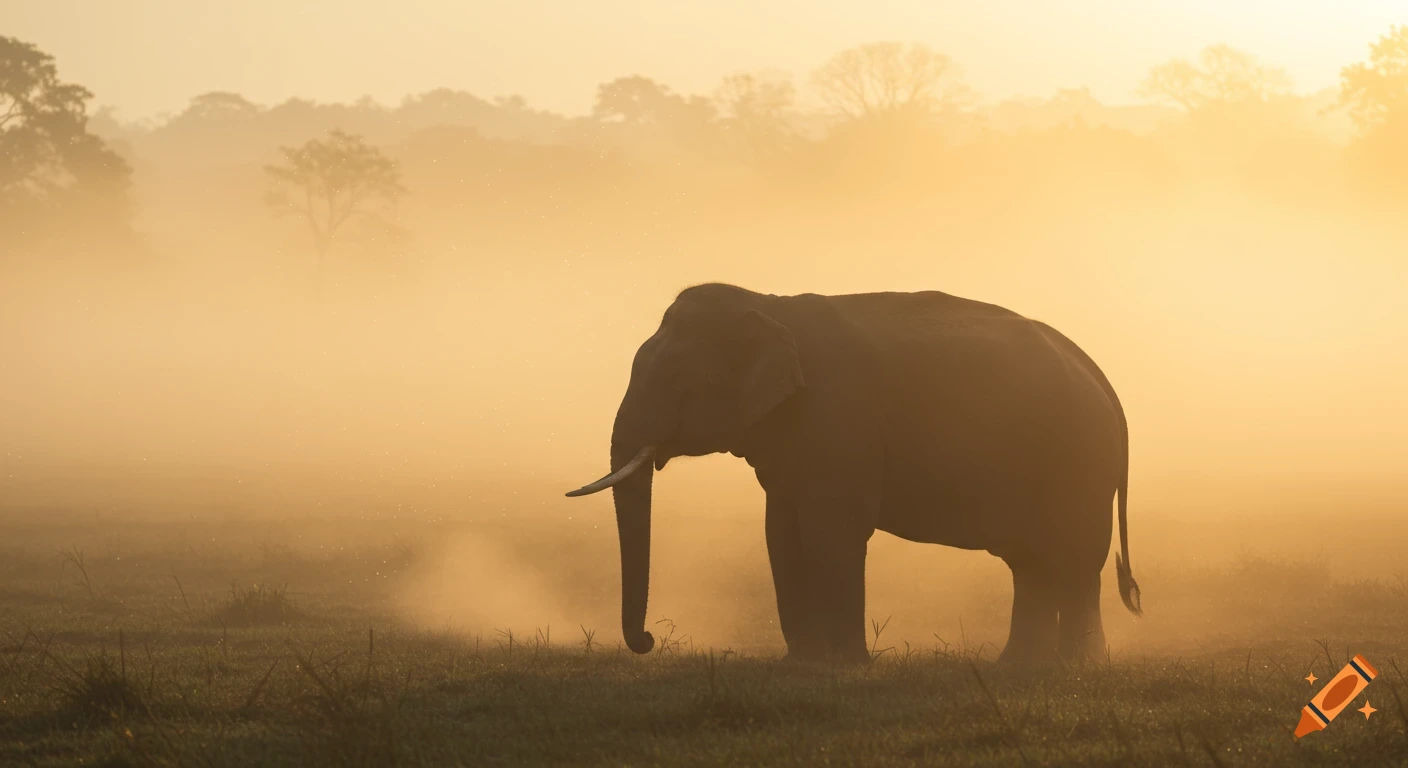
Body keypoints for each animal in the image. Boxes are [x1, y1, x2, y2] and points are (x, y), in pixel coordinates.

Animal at [566, 283, 1141, 664]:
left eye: (676, 381)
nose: (648, 642)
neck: (768, 305)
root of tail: (1101, 377)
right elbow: (781, 534)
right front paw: (802, 669)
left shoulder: (838, 419)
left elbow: (831, 531)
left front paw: (848, 669)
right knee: (1031, 563)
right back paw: (1019, 670)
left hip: (1079, 459)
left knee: (1074, 559)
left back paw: (1076, 670)